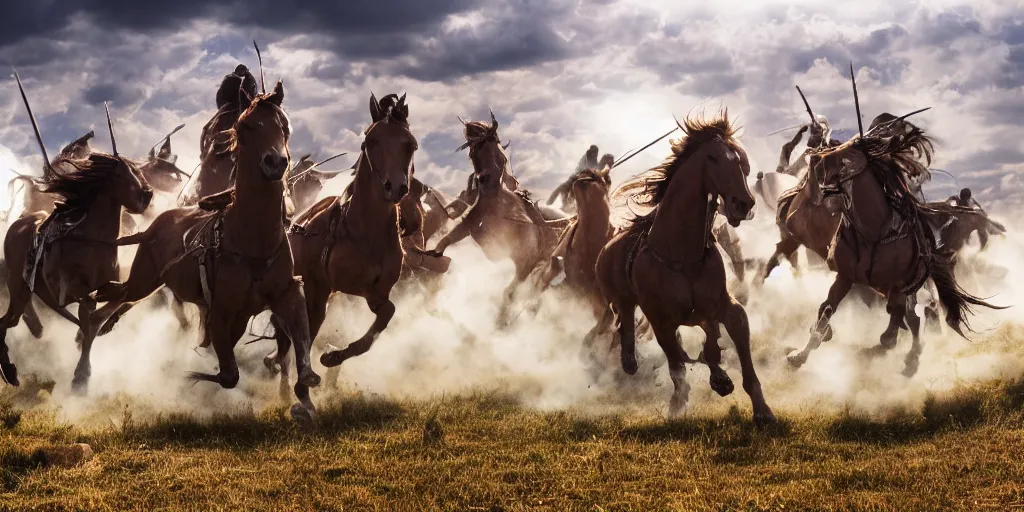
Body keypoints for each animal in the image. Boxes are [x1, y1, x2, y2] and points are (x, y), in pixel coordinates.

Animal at [0, 74, 152, 389]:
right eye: (120, 174)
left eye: (136, 170)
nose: (147, 195)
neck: (93, 240)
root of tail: (17, 225)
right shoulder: (69, 291)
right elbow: (88, 315)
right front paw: (81, 373)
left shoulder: (106, 287)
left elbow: (106, 310)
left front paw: (83, 360)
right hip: (18, 288)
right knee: (7, 321)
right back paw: (9, 367)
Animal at [89, 80, 319, 423]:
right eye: (247, 126)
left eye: (284, 125)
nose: (275, 163)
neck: (251, 238)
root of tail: (157, 224)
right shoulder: (221, 311)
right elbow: (228, 374)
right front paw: (190, 377)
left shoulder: (283, 295)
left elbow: (301, 351)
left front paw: (303, 395)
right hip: (145, 279)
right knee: (121, 295)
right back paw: (99, 323)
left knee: (124, 298)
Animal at [423, 114, 573, 323]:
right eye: (473, 150)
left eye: (492, 144)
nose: (486, 180)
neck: (496, 203)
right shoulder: (468, 225)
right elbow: (443, 244)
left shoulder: (526, 263)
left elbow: (510, 292)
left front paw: (501, 322)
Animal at [589, 113, 770, 423]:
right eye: (712, 157)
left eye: (740, 161)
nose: (743, 203)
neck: (681, 256)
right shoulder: (660, 320)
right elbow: (677, 364)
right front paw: (679, 403)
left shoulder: (723, 306)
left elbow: (731, 340)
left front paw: (760, 407)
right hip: (621, 299)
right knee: (625, 320)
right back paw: (628, 360)